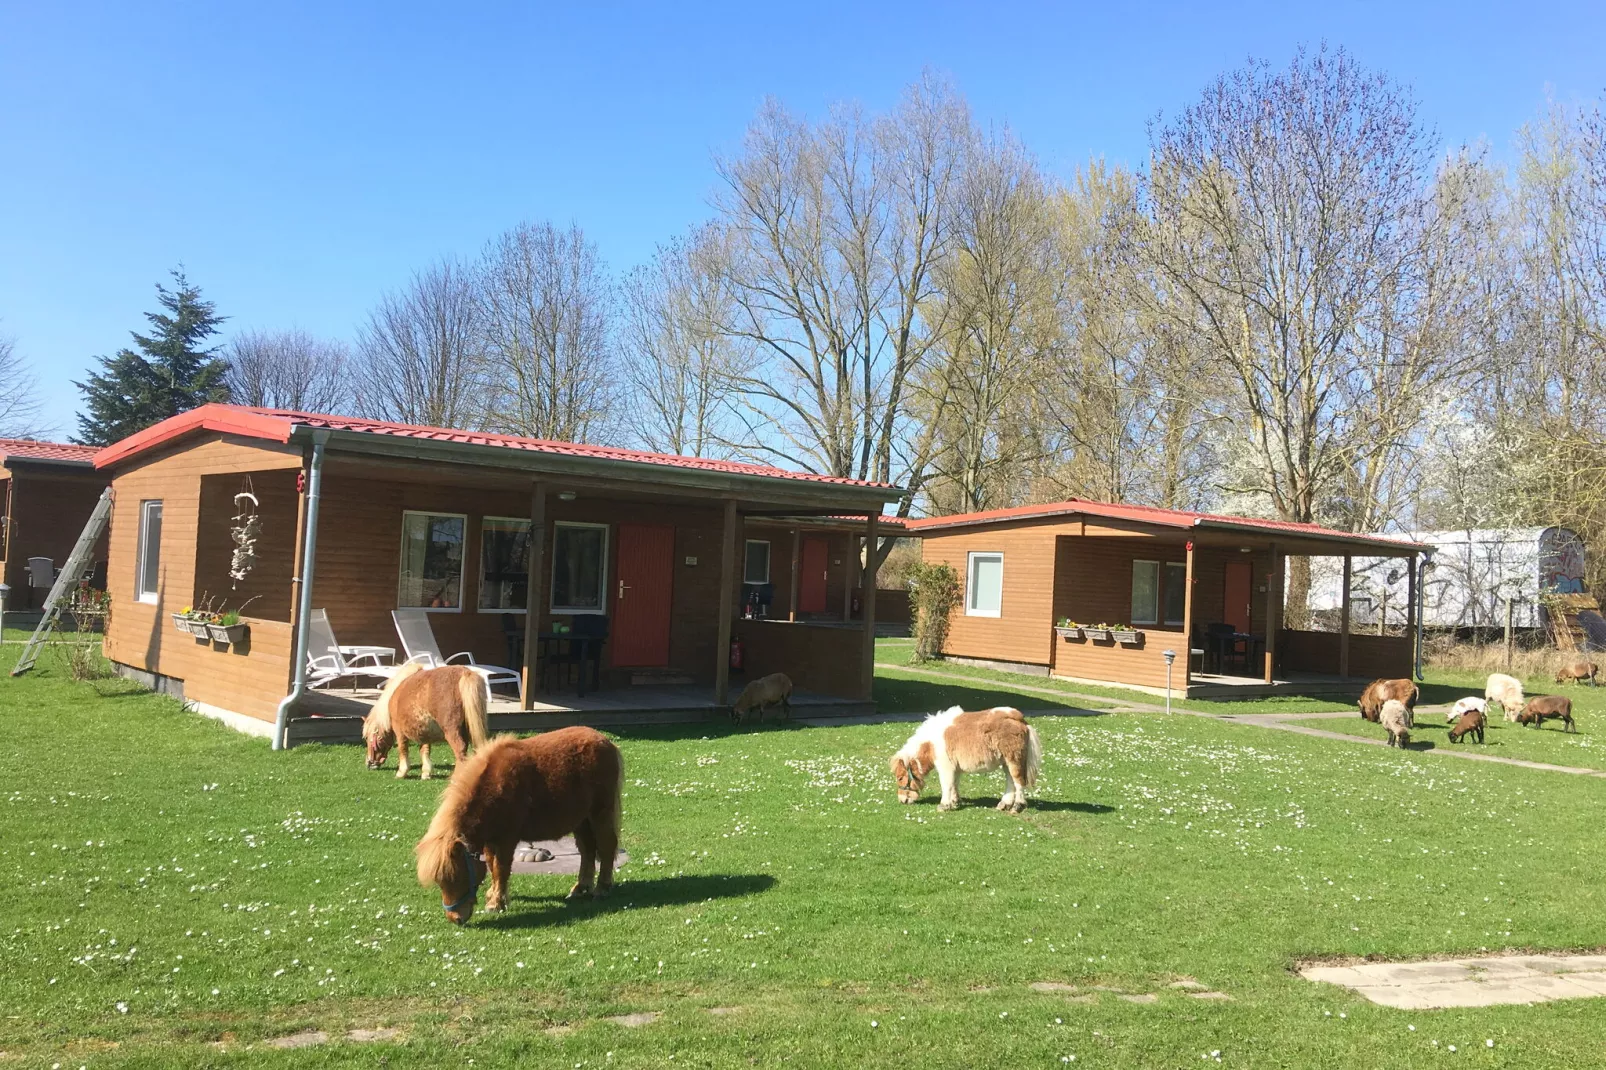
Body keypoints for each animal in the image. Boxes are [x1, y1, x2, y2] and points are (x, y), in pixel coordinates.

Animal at [414, 729, 619, 918]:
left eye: (457, 876)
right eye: (440, 882)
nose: (455, 918)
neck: (493, 786)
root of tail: (605, 741)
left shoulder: (507, 839)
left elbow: (501, 868)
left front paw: (496, 903)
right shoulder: (490, 839)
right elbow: (491, 865)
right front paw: (494, 896)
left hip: (600, 814)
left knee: (606, 847)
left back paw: (601, 889)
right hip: (581, 821)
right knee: (587, 851)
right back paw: (580, 887)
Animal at [892, 703, 1040, 812]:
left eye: (900, 778)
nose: (901, 800)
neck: (931, 743)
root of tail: (1018, 718)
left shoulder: (945, 767)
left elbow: (946, 785)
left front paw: (944, 805)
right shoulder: (955, 767)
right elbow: (954, 784)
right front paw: (954, 802)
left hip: (1014, 759)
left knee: (1018, 782)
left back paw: (1017, 806)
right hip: (1006, 762)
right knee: (1010, 781)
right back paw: (1004, 804)